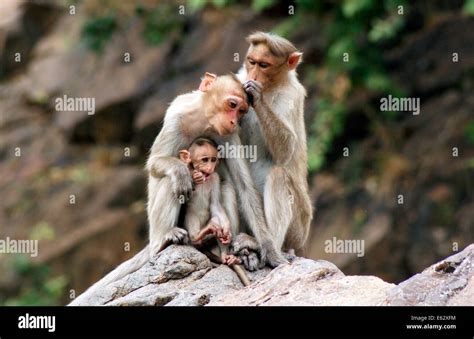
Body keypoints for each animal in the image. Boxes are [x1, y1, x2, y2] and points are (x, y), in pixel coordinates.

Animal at [181, 137, 243, 266]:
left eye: (213, 159)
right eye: (205, 160)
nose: (210, 167)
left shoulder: (215, 177)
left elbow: (216, 205)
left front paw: (227, 230)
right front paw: (195, 176)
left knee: (217, 222)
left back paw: (225, 254)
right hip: (192, 220)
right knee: (195, 233)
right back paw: (198, 236)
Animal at [231, 31, 312, 260]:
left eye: (264, 65)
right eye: (251, 62)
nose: (253, 75)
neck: (271, 87)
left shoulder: (291, 95)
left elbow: (286, 149)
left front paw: (256, 96)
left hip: (298, 231)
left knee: (279, 176)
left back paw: (267, 246)